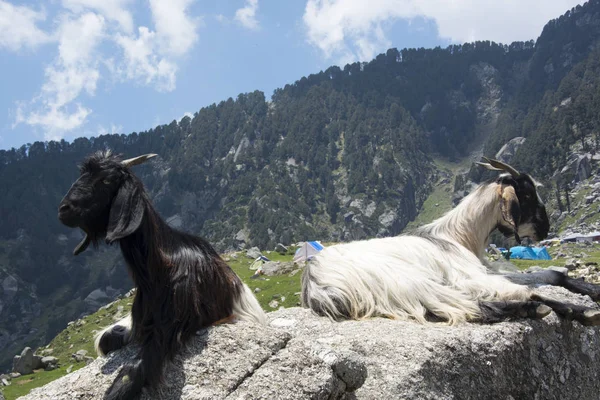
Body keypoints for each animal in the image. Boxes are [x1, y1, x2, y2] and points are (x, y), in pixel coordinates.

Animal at [58, 152, 264, 398]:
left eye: (106, 180)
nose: (64, 209)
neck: (156, 271)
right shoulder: (140, 320)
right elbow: (108, 339)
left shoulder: (174, 322)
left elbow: (135, 368)